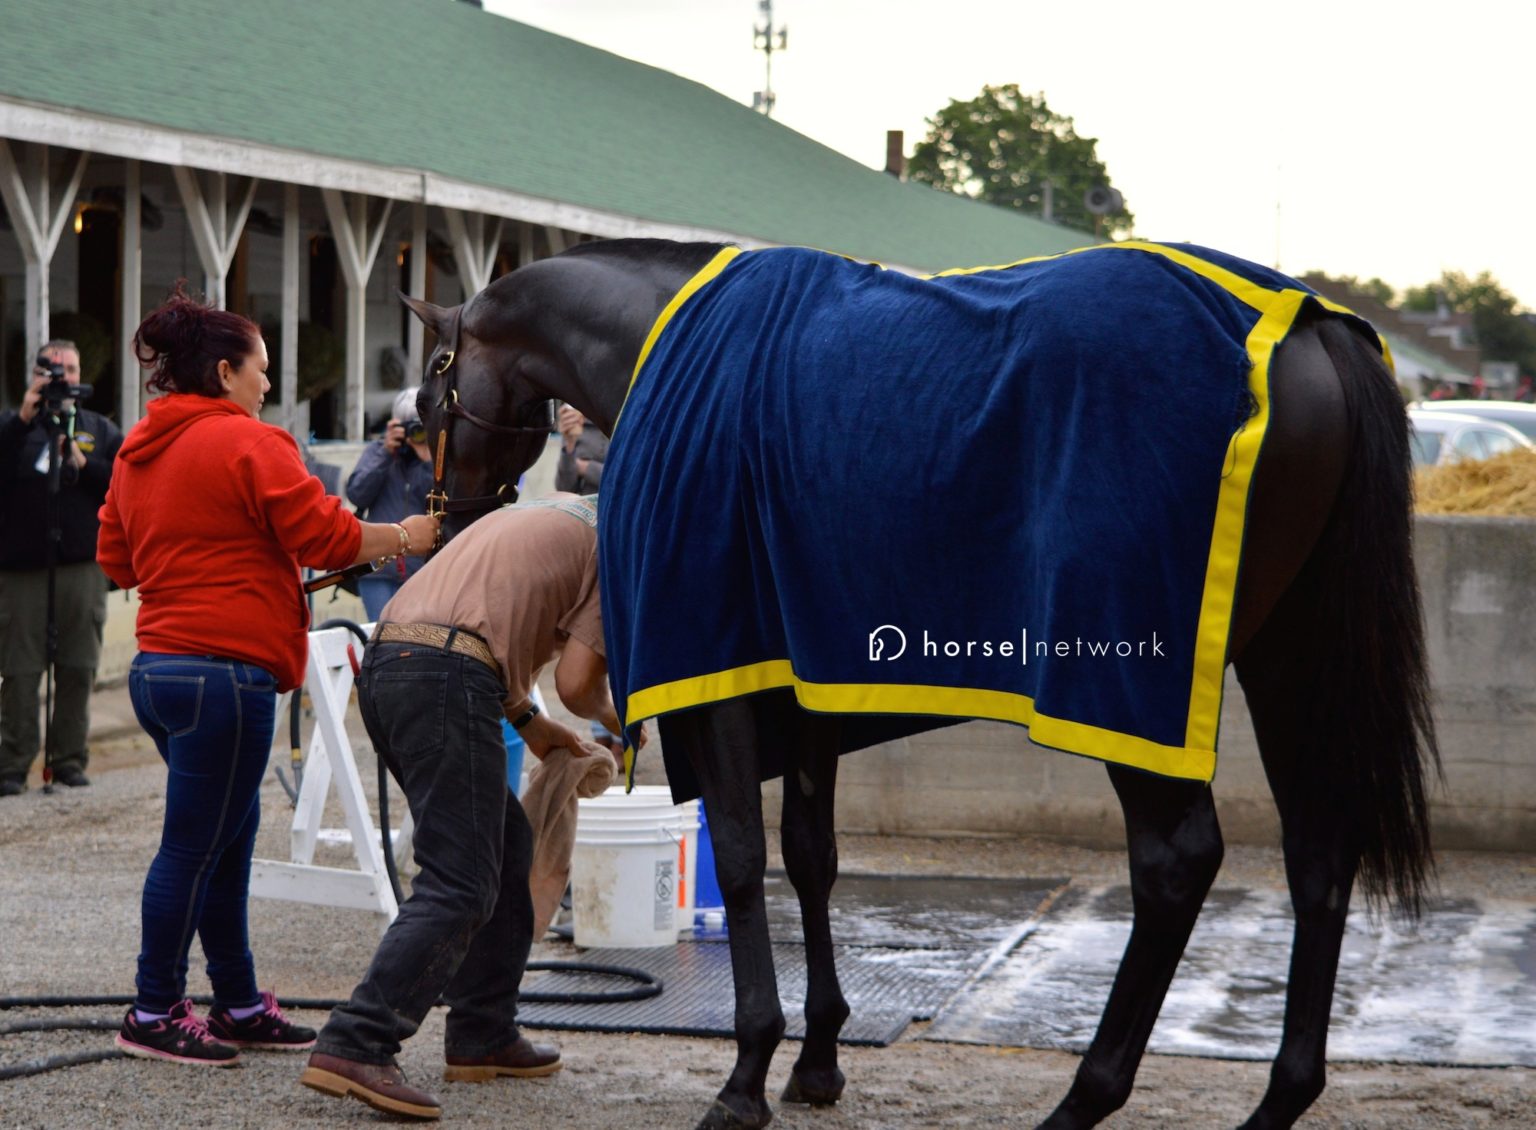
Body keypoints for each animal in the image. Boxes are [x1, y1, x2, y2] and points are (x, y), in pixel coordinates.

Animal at [401, 237, 1439, 1130]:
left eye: (432, 382)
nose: (445, 521)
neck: (664, 339)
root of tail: (1308, 325)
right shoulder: (806, 681)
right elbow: (810, 857)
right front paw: (818, 1058)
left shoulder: (718, 677)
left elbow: (741, 856)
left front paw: (748, 1073)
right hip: (1292, 650)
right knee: (1318, 851)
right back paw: (1275, 1100)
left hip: (1124, 682)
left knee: (1176, 862)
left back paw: (1084, 1099)